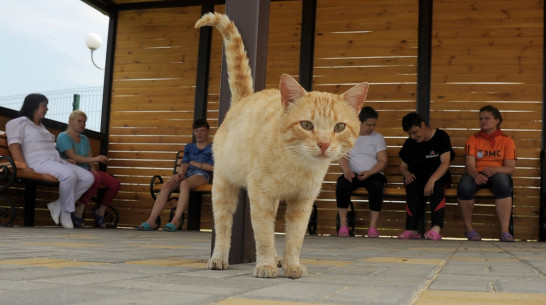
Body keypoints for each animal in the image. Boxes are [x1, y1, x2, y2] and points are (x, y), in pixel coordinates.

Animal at [193, 12, 368, 278]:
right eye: (306, 124)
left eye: (339, 127)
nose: (324, 143)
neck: (298, 165)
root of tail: (244, 99)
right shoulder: (262, 196)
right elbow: (264, 234)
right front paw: (265, 264)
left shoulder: (303, 202)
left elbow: (295, 237)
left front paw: (291, 264)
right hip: (223, 186)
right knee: (223, 224)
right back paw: (219, 258)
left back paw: (277, 258)